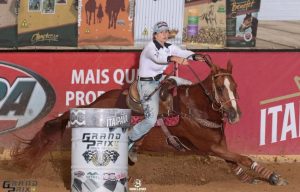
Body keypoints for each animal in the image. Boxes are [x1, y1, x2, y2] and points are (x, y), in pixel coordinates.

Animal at [11, 56, 288, 186]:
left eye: (235, 86)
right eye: (220, 87)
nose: (234, 114)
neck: (196, 108)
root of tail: (90, 105)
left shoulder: (218, 147)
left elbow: (236, 162)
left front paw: (261, 178)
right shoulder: (209, 147)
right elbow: (245, 158)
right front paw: (274, 176)